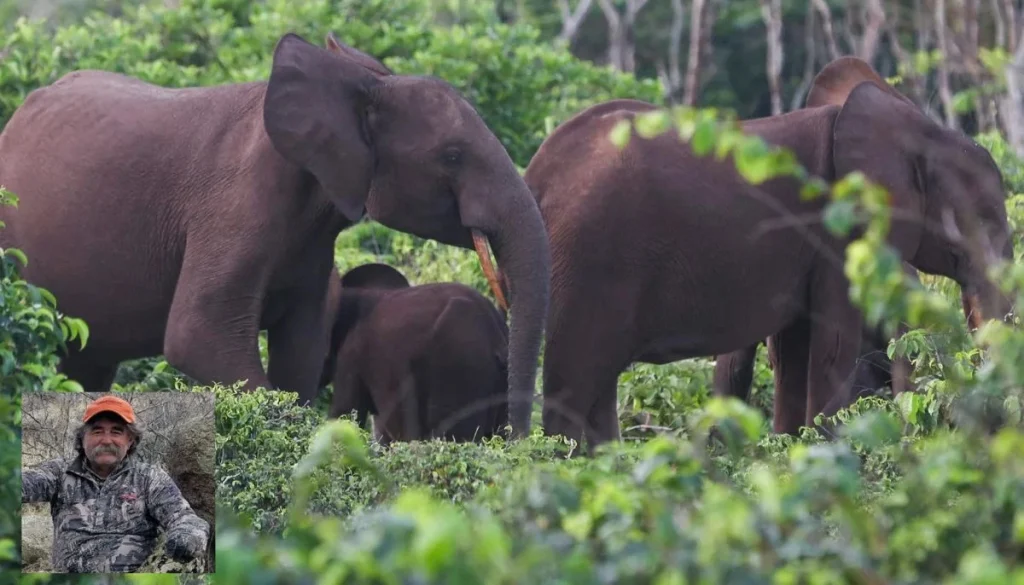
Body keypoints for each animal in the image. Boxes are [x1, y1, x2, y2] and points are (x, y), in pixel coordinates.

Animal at [521, 55, 1012, 448]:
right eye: (982, 222)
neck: (917, 129)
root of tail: (536, 173)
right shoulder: (838, 231)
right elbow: (832, 344)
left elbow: (796, 348)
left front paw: (790, 450)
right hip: (587, 259)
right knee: (574, 382)